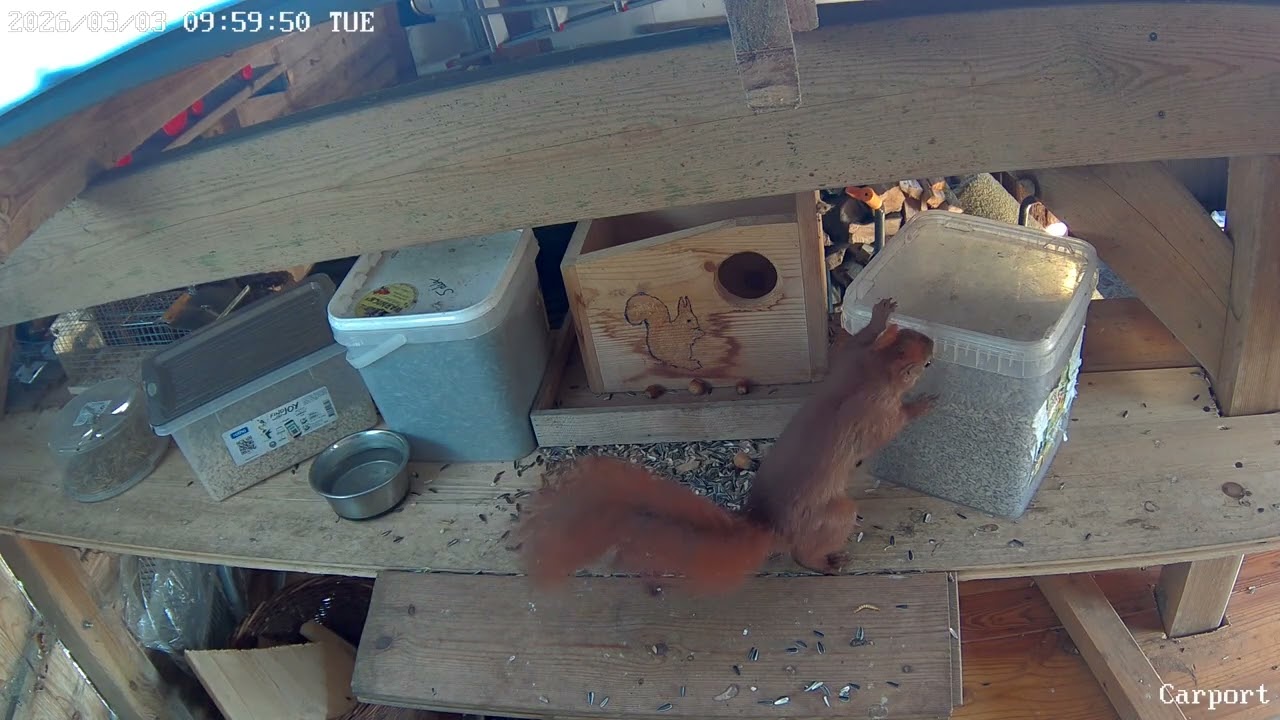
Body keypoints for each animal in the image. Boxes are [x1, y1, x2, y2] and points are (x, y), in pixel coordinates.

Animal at [519, 298, 936, 594]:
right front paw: (924, 404)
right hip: (834, 515)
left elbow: (859, 339)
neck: (870, 372)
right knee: (804, 552)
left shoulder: (852, 358)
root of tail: (769, 526)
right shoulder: (873, 411)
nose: (931, 341)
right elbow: (889, 428)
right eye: (923, 363)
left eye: (908, 334)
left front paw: (880, 314)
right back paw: (827, 562)